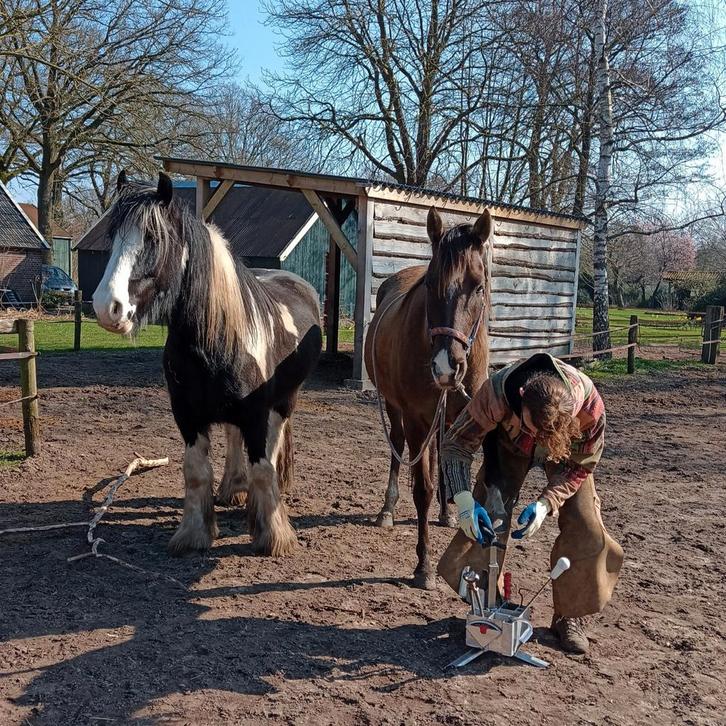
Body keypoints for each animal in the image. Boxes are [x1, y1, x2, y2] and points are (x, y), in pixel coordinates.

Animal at [92, 171, 322, 557]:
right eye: (112, 237)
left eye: (153, 238)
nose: (107, 307)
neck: (210, 342)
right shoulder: (187, 416)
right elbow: (196, 471)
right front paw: (194, 533)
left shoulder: (256, 414)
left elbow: (263, 468)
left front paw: (274, 536)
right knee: (232, 437)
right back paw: (233, 489)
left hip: (285, 401)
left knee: (273, 448)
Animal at [364, 207, 493, 589]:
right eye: (430, 285)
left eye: (478, 286)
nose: (446, 366)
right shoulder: (415, 419)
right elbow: (422, 488)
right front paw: (423, 567)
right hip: (395, 410)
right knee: (398, 445)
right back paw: (387, 510)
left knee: (437, 453)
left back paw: (446, 513)